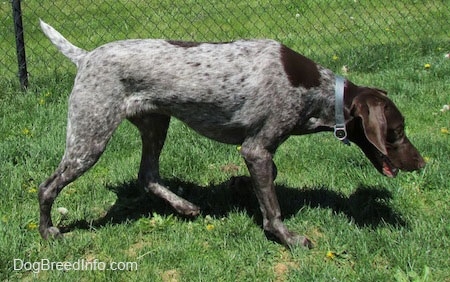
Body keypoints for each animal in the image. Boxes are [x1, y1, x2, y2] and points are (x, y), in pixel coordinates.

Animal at [37, 20, 424, 249]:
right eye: (397, 132)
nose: (422, 163)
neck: (319, 91)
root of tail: (85, 57)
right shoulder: (256, 148)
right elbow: (273, 209)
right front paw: (287, 238)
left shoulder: (259, 153)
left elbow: (267, 185)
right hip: (90, 139)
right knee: (47, 187)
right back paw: (47, 231)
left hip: (155, 123)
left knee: (148, 175)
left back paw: (186, 207)